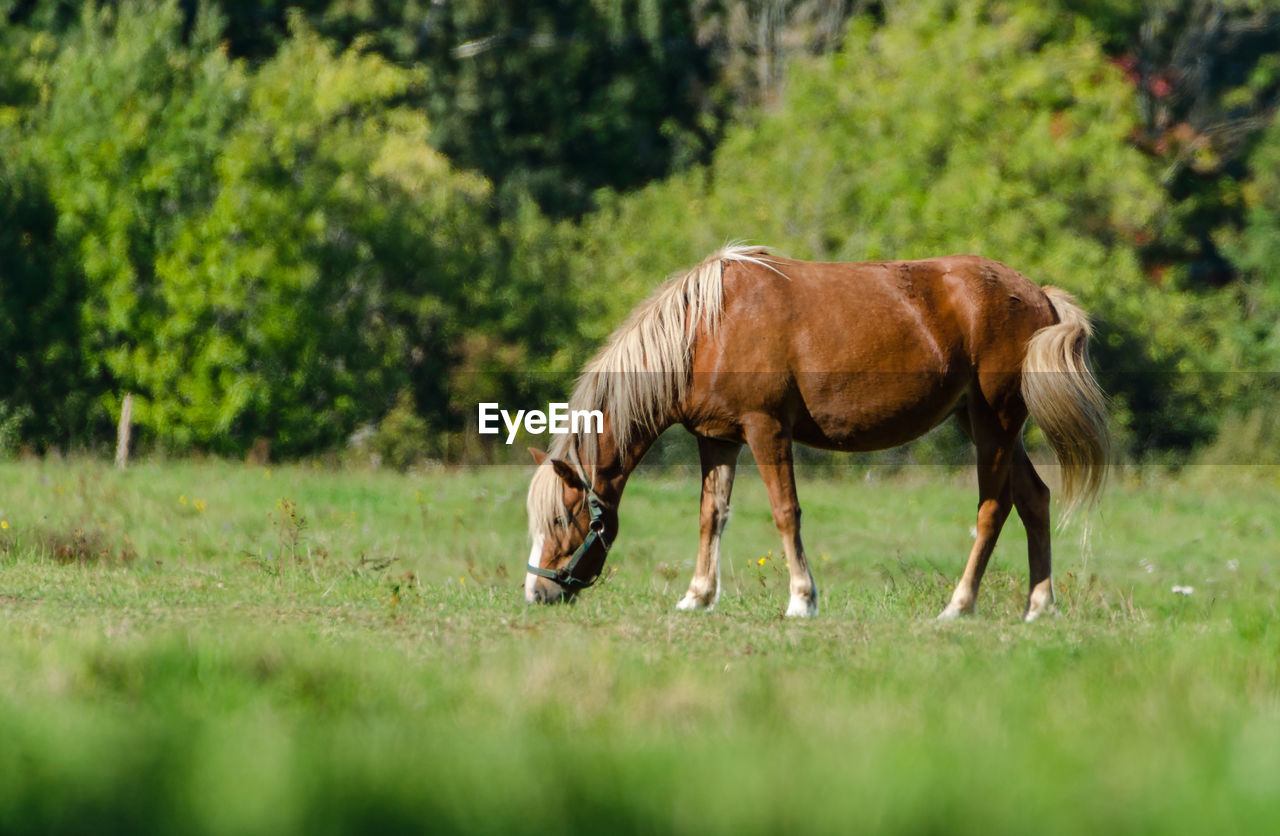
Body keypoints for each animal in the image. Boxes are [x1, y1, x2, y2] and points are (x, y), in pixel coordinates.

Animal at [524, 243, 1105, 619]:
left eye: (560, 519)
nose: (535, 593)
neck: (707, 329)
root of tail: (1038, 295)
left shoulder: (766, 429)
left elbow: (785, 512)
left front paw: (802, 599)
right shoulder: (718, 439)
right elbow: (712, 515)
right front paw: (698, 596)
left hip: (995, 423)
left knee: (993, 507)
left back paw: (959, 605)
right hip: (987, 423)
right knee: (1034, 500)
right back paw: (1039, 605)